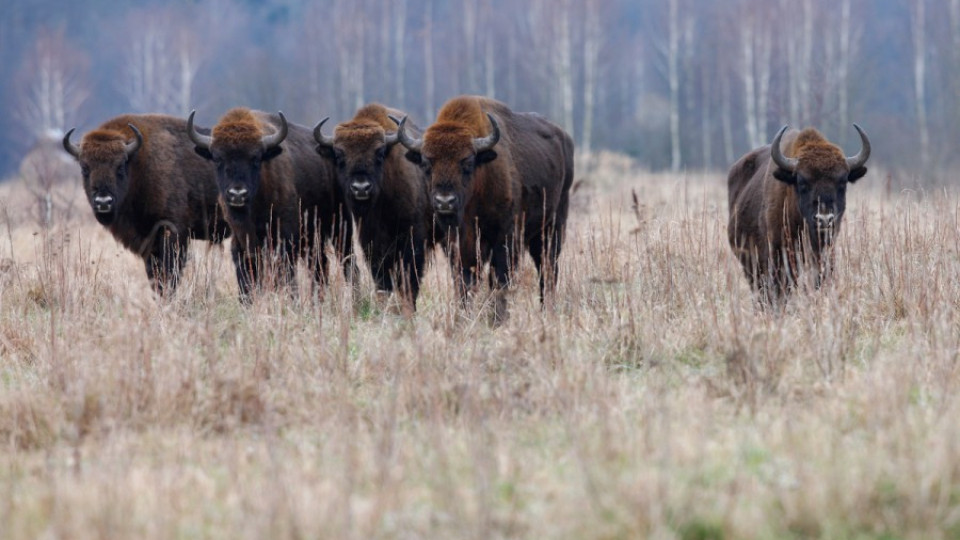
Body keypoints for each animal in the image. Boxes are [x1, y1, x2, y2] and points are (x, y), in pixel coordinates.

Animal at [62, 114, 231, 298]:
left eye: (120, 166)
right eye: (85, 168)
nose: (103, 202)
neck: (139, 163)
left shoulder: (172, 232)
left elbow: (169, 273)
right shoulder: (149, 242)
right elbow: (154, 276)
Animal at [186, 108, 350, 304]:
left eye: (256, 158)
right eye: (218, 158)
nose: (237, 194)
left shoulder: (285, 239)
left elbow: (285, 275)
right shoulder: (241, 243)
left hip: (340, 226)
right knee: (320, 264)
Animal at [314, 103, 430, 310]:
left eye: (379, 153)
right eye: (339, 155)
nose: (361, 188)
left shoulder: (413, 236)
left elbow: (410, 276)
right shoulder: (370, 239)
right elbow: (381, 276)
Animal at [394, 95, 572, 322]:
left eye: (467, 163)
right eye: (426, 164)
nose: (445, 201)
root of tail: (563, 137)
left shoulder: (505, 238)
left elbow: (499, 279)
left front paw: (497, 318)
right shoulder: (456, 244)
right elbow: (464, 280)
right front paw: (464, 315)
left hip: (553, 225)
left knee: (547, 267)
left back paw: (547, 310)